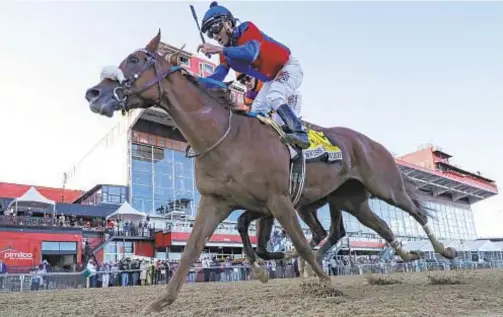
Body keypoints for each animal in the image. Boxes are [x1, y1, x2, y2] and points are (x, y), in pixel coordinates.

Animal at [85, 32, 456, 312]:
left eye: (135, 59)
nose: (94, 93)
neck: (226, 135)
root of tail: (371, 142)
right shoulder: (218, 201)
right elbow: (193, 249)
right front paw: (162, 300)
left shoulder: (278, 200)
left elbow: (298, 242)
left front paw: (324, 282)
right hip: (351, 200)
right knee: (372, 227)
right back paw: (407, 252)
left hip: (383, 186)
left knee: (415, 211)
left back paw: (444, 251)